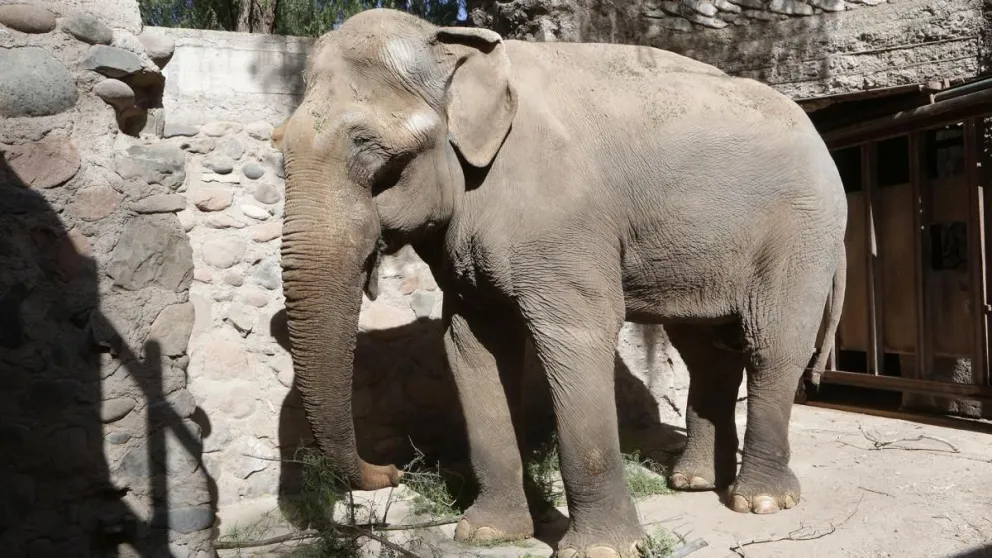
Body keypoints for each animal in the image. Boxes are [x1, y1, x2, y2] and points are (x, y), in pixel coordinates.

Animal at [276, 8, 848, 558]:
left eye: (369, 148)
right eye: (279, 145)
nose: (394, 471)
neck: (456, 48)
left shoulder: (563, 223)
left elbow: (575, 337)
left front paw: (601, 550)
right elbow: (471, 345)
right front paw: (487, 534)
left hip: (801, 232)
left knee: (772, 344)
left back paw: (760, 501)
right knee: (706, 350)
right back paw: (693, 482)